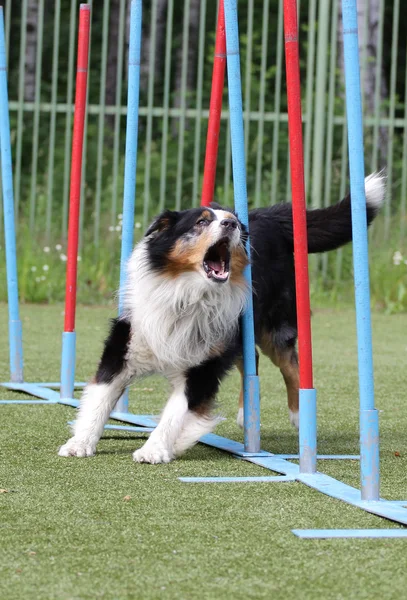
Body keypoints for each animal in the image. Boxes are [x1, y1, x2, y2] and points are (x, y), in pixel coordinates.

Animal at [57, 172, 386, 464]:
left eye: (231, 222)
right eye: (201, 221)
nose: (231, 224)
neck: (188, 294)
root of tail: (271, 215)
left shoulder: (203, 366)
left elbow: (174, 413)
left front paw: (154, 450)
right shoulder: (125, 344)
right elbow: (99, 399)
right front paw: (79, 443)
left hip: (273, 325)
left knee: (291, 364)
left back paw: (297, 416)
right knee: (252, 358)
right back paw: (246, 415)